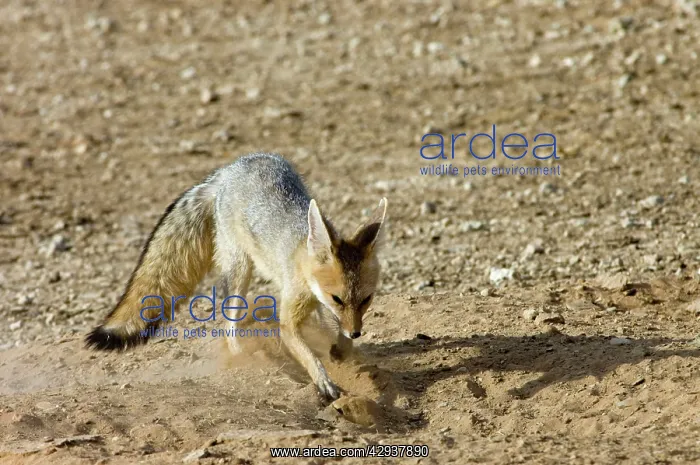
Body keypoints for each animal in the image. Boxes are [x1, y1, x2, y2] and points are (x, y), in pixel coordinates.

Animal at [85, 152, 388, 401]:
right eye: (338, 298)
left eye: (366, 300)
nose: (357, 332)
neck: (301, 259)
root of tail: (229, 169)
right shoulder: (291, 318)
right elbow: (305, 351)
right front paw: (323, 379)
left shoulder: (321, 305)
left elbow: (334, 332)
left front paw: (342, 348)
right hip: (240, 271)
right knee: (228, 317)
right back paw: (241, 353)